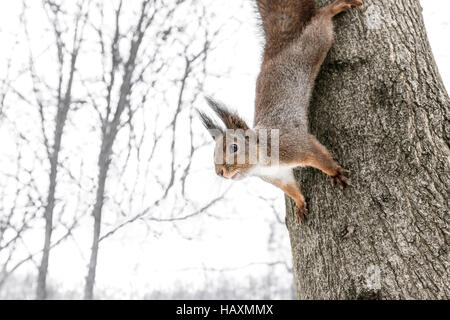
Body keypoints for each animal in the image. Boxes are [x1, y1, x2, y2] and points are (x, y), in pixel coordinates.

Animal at [198, 0, 362, 222]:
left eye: (234, 148)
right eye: (213, 154)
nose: (220, 172)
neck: (262, 161)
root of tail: (275, 49)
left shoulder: (294, 145)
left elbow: (318, 155)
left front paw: (335, 173)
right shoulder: (279, 176)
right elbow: (291, 189)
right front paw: (300, 204)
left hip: (310, 49)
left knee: (320, 25)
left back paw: (335, 8)